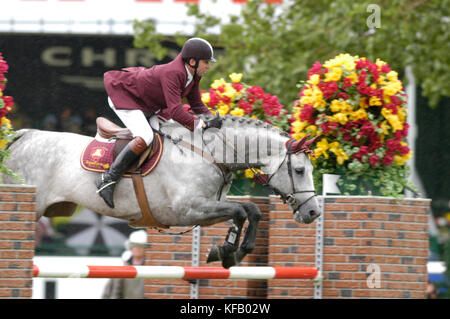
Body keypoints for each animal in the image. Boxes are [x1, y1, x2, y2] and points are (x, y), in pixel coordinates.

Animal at [3, 114, 320, 268]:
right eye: (300, 170)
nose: (313, 212)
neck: (209, 153)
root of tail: (23, 136)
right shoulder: (188, 209)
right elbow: (241, 211)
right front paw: (228, 250)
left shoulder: (208, 206)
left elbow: (250, 211)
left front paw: (231, 252)